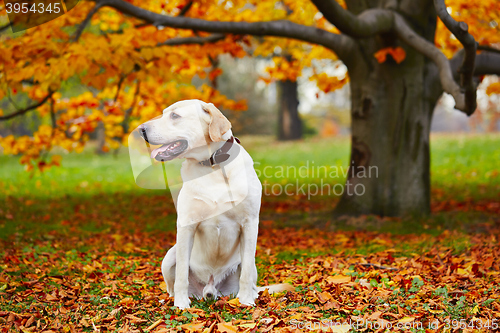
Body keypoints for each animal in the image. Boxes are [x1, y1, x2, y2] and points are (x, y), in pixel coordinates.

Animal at [137, 99, 292, 308]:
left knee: (250, 277)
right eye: (164, 113)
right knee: (172, 284)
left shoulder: (250, 223)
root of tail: (210, 289)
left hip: (250, 264)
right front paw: (181, 305)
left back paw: (249, 296)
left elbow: (245, 274)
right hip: (169, 256)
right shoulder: (186, 225)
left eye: (175, 116)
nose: (141, 129)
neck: (212, 165)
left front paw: (246, 302)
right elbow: (181, 275)